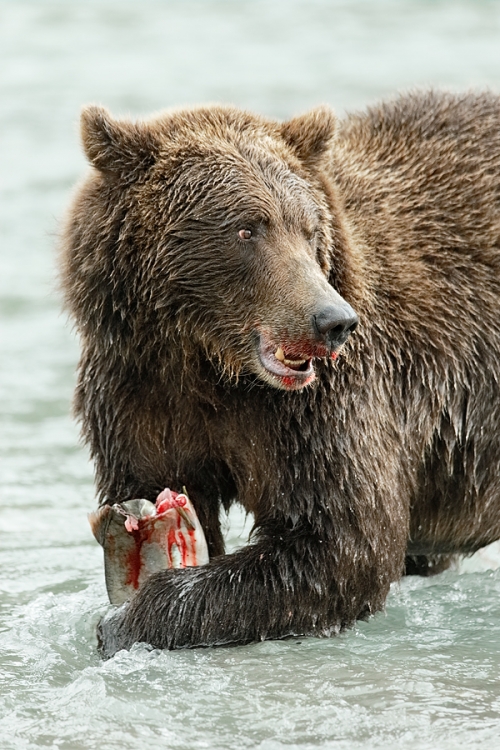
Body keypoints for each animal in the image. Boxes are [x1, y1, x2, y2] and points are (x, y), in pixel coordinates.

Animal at [60, 91, 500, 656]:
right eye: (247, 228)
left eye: (310, 230)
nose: (333, 320)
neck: (208, 364)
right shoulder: (136, 393)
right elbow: (153, 478)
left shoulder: (323, 410)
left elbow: (337, 543)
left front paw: (130, 617)